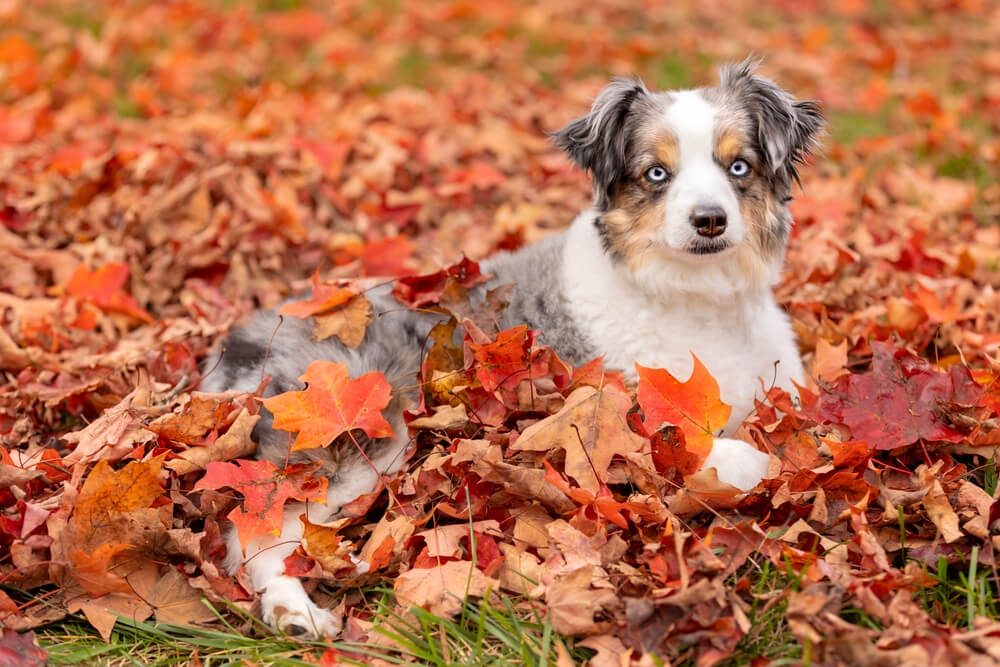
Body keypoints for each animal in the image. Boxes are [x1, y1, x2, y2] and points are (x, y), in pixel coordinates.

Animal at [199, 60, 824, 640]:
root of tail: (250, 336)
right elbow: (749, 455)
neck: (696, 296)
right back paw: (294, 611)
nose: (709, 220)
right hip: (361, 437)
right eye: (656, 173)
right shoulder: (616, 428)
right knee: (257, 528)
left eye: (738, 167)